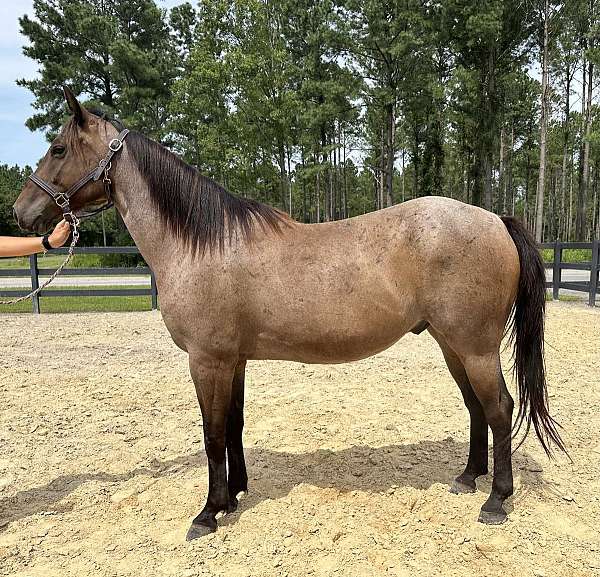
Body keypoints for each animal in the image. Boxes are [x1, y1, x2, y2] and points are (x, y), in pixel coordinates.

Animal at [14, 89, 568, 540]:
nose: (23, 213)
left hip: (474, 346)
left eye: (59, 148)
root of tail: (495, 219)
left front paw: (208, 513)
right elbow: (233, 425)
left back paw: (496, 500)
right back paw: (468, 478)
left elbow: (211, 433)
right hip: (451, 343)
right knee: (477, 408)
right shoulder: (233, 360)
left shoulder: (207, 360)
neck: (202, 245)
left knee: (499, 408)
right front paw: (235, 494)